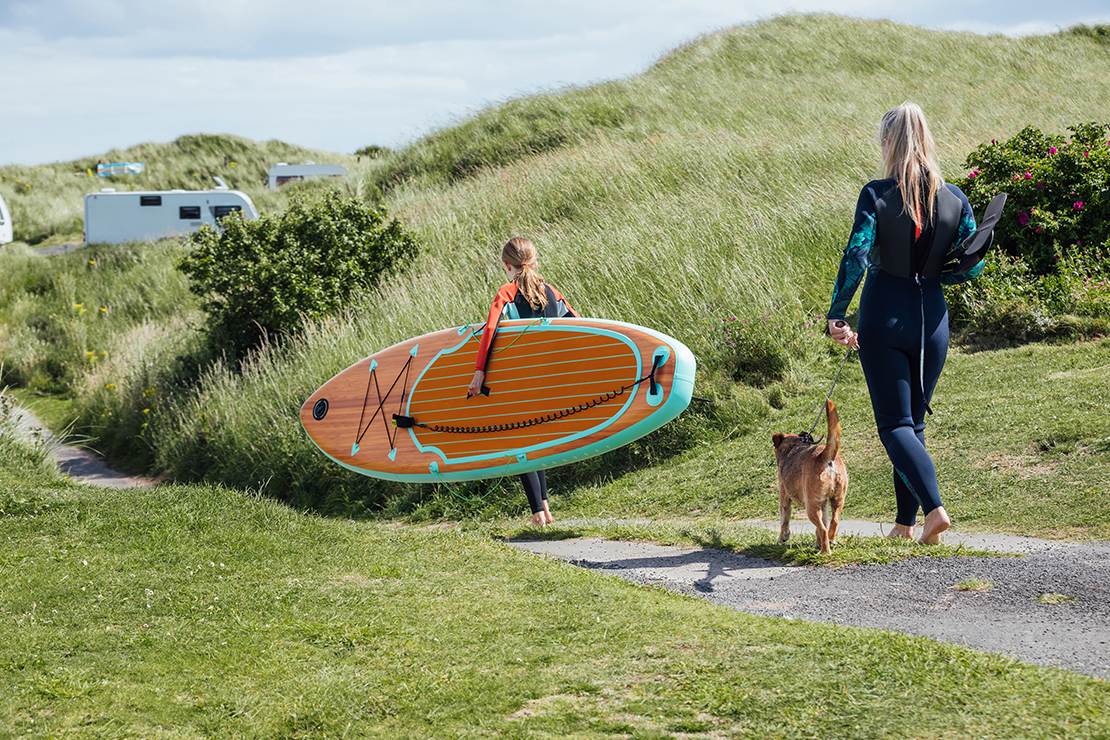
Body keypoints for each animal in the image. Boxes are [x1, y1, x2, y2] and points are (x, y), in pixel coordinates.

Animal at [772, 399, 848, 554]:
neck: (793, 446)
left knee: (823, 529)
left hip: (811, 506)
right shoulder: (823, 504)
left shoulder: (784, 496)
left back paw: (824, 551)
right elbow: (820, 527)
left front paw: (782, 537)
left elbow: (784, 520)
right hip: (837, 500)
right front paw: (817, 542)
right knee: (832, 522)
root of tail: (825, 456)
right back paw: (830, 541)